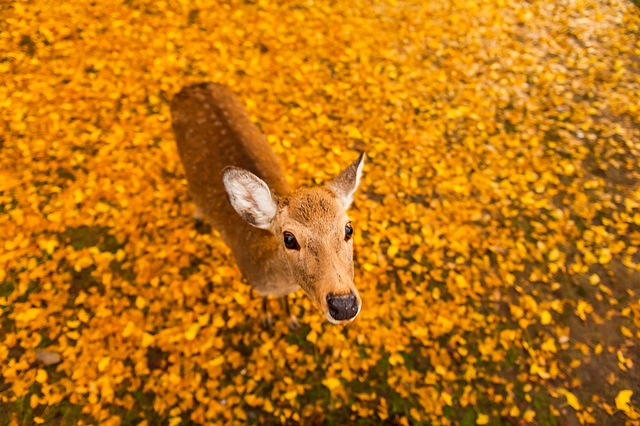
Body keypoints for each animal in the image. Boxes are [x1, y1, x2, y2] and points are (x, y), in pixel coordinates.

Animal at [170, 83, 365, 329]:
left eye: (349, 228)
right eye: (289, 238)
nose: (343, 305)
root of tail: (191, 86)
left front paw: (291, 320)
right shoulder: (254, 282)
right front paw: (266, 318)